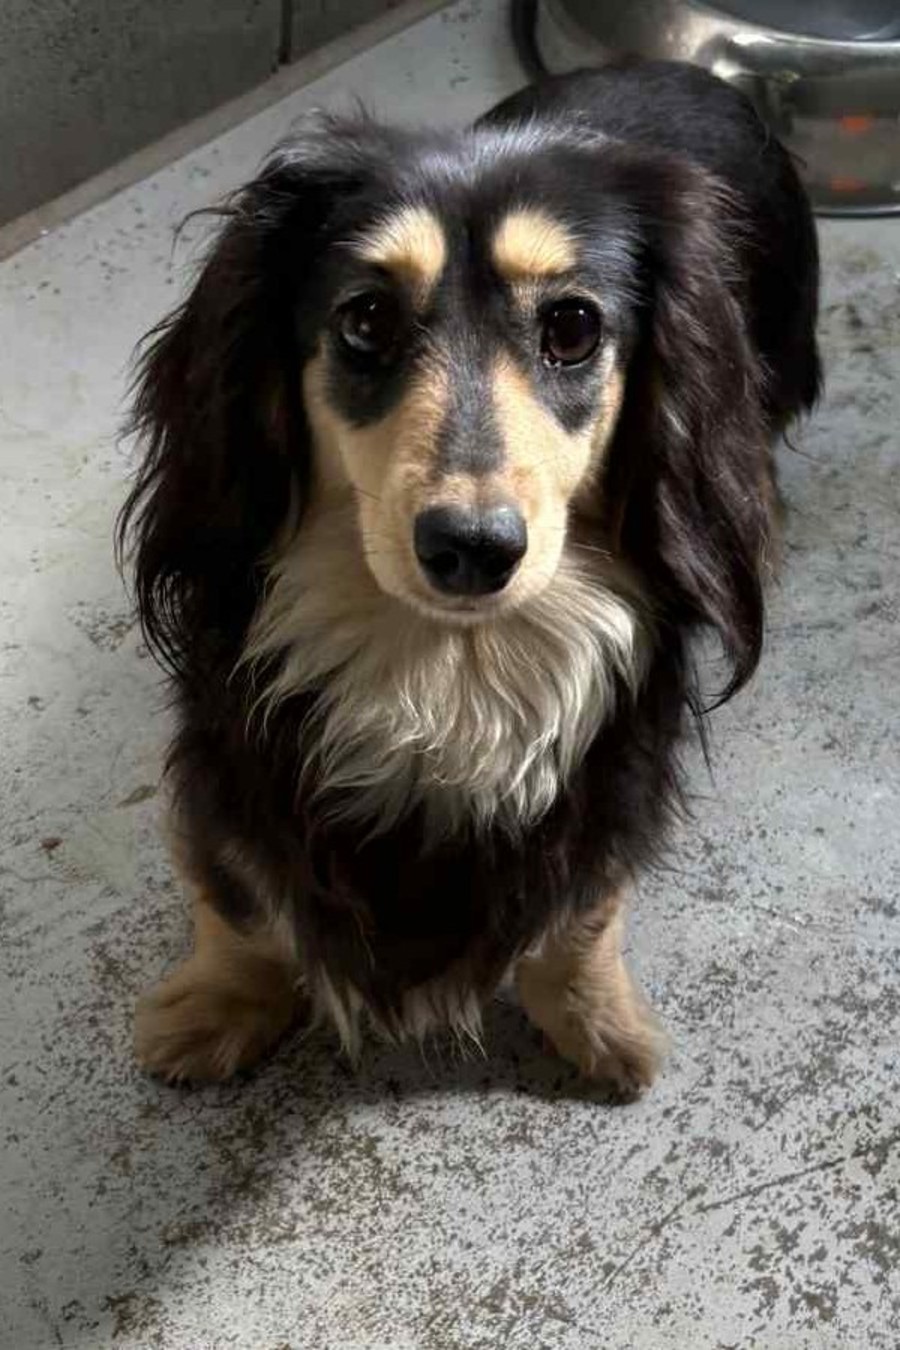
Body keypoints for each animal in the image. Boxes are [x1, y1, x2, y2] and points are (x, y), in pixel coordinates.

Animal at [120, 60, 820, 1095]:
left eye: (572, 327)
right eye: (366, 317)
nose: (472, 548)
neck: (448, 675)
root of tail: (695, 72)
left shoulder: (613, 781)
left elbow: (582, 921)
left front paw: (598, 1026)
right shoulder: (227, 764)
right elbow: (236, 898)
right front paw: (217, 1007)